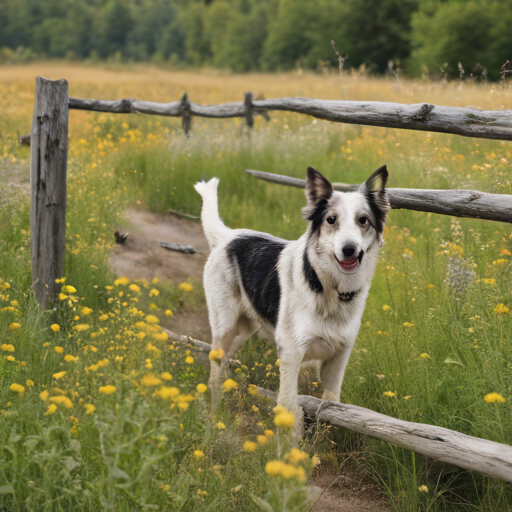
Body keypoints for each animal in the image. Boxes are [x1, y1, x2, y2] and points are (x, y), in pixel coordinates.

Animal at [194, 165, 390, 436]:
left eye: (364, 220)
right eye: (331, 220)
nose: (349, 249)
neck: (327, 288)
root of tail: (229, 235)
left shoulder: (337, 361)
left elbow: (332, 408)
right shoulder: (291, 356)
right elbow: (290, 412)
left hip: (244, 330)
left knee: (222, 371)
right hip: (225, 327)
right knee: (213, 376)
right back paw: (213, 420)